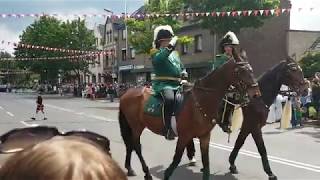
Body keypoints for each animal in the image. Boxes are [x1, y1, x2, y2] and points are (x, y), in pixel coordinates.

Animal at [117, 58, 260, 179]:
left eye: (251, 70)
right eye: (242, 71)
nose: (256, 93)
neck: (200, 101)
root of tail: (126, 93)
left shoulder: (204, 137)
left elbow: (206, 163)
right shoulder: (184, 136)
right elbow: (176, 159)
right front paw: (167, 173)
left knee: (130, 145)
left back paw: (130, 169)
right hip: (136, 125)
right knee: (136, 146)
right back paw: (146, 173)